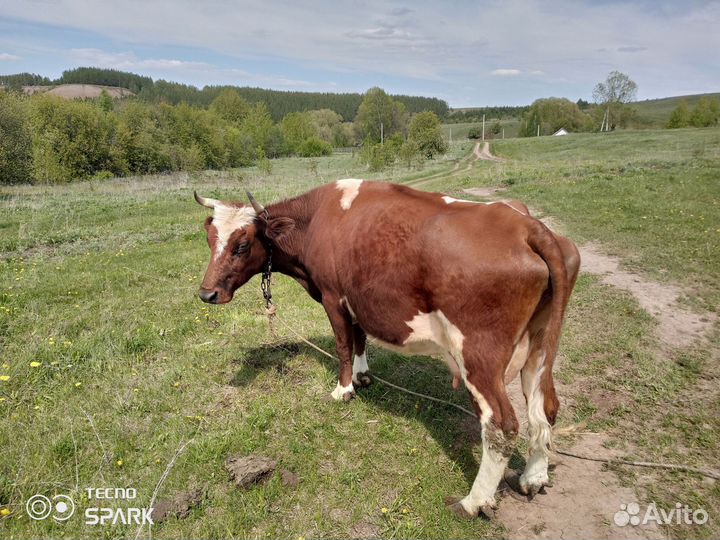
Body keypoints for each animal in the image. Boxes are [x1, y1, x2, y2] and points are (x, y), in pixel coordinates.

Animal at [194, 180, 584, 520]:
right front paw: (363, 376)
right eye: (210, 239)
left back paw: (472, 502)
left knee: (501, 426)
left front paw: (343, 389)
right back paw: (534, 477)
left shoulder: (333, 296)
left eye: (242, 245)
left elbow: (343, 343)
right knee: (546, 407)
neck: (317, 218)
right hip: (540, 348)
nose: (207, 293)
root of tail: (527, 226)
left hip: (479, 356)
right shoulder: (356, 298)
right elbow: (360, 337)